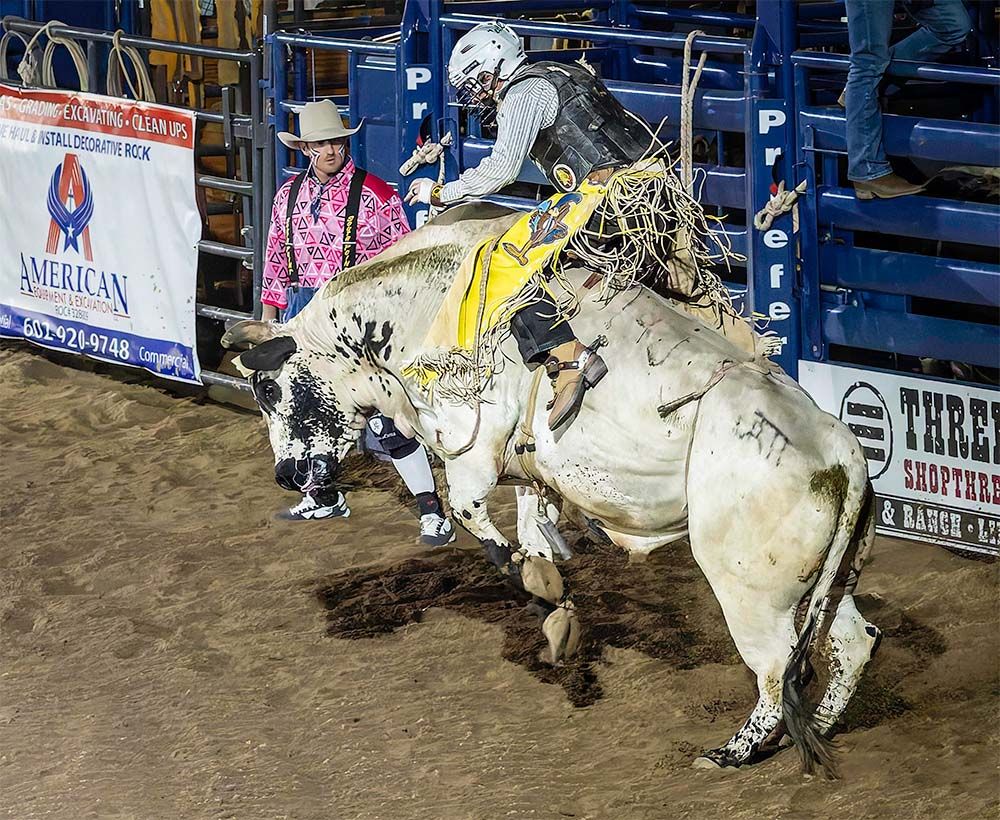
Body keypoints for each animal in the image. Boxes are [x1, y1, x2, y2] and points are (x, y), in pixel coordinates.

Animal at [223, 205, 880, 776]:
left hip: (750, 589)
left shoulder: (472, 442)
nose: (285, 475)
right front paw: (551, 598)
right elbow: (530, 525)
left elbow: (475, 516)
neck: (418, 306)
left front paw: (540, 587)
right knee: (852, 642)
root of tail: (843, 453)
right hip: (818, 582)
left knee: (773, 671)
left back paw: (730, 753)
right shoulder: (528, 472)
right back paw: (820, 725)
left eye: (268, 388)